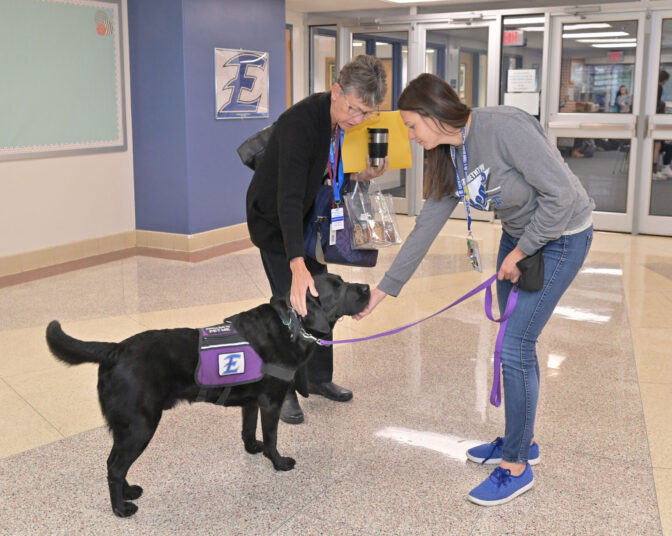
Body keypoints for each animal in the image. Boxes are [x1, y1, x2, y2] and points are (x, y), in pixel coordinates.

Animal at [44, 274, 370, 516]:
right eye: (337, 286)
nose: (367, 287)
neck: (292, 324)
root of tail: (115, 349)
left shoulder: (252, 402)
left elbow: (248, 430)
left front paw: (253, 448)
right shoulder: (271, 401)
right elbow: (273, 438)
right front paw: (278, 462)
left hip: (128, 427)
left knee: (115, 463)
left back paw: (128, 492)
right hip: (140, 425)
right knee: (114, 467)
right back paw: (120, 508)